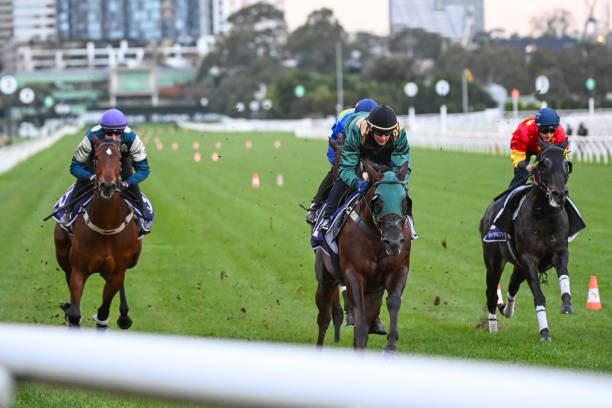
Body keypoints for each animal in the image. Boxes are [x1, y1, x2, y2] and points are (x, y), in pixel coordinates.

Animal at [53, 137, 142, 328]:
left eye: (119, 159)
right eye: (96, 158)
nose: (107, 185)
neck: (106, 228)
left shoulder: (117, 272)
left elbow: (103, 313)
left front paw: (119, 315)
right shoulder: (79, 269)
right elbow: (74, 314)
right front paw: (69, 309)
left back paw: (124, 315)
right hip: (63, 253)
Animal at [316, 161, 412, 352]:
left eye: (404, 200)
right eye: (378, 200)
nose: (394, 241)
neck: (376, 238)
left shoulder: (398, 270)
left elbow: (394, 302)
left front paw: (391, 345)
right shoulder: (353, 273)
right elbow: (359, 321)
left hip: (372, 292)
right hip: (326, 278)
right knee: (323, 319)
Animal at [480, 139, 576, 342]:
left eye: (567, 164)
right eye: (543, 164)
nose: (559, 194)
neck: (544, 215)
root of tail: (487, 213)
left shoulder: (560, 252)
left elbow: (564, 275)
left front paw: (566, 304)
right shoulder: (528, 258)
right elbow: (539, 297)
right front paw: (545, 332)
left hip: (518, 266)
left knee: (512, 286)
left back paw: (506, 309)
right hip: (494, 261)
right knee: (491, 293)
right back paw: (492, 325)